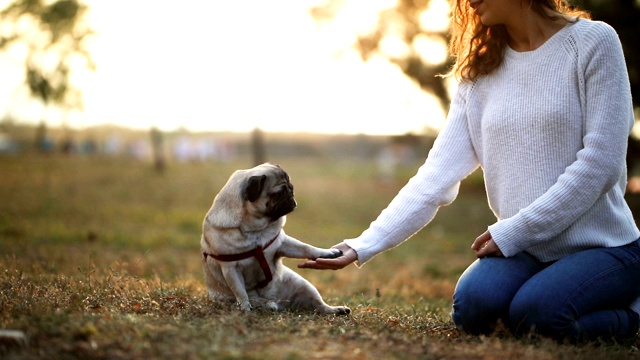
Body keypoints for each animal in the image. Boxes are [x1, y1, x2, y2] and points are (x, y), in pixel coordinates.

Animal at [201, 163, 348, 316]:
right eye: (278, 194)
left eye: (291, 187)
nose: (291, 195)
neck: (255, 228)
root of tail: (280, 302)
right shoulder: (230, 269)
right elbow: (240, 292)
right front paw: (245, 308)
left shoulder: (282, 243)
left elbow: (306, 248)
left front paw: (328, 253)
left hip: (304, 285)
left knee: (319, 306)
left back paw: (337, 309)